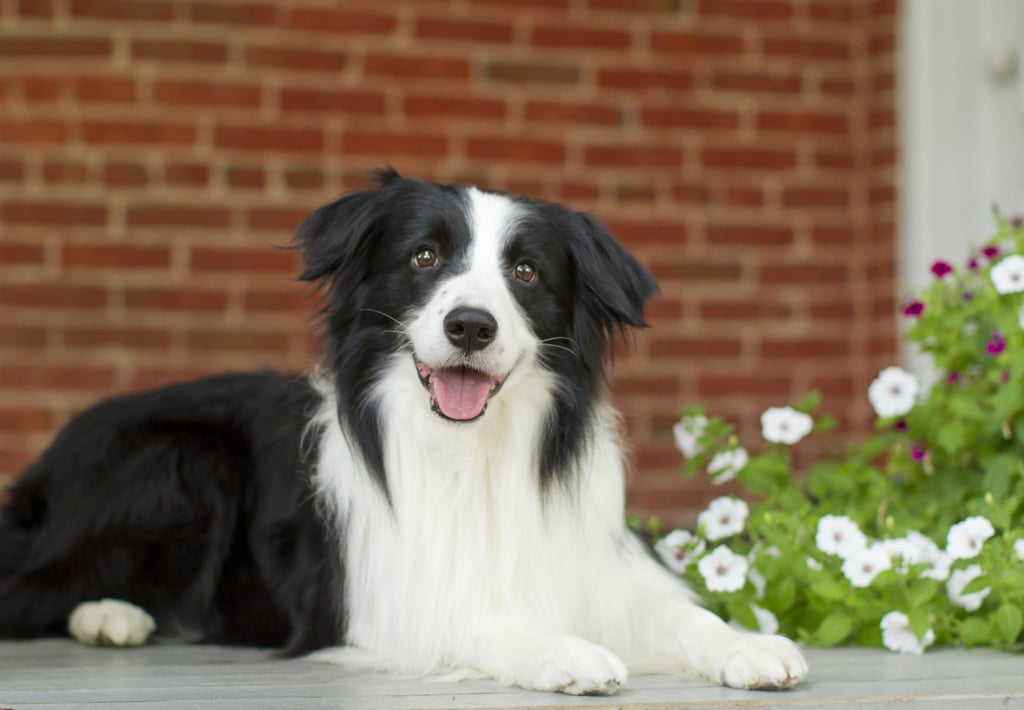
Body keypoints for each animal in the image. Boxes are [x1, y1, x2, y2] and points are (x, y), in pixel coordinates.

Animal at [0, 170, 806, 692]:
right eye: (424, 256)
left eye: (526, 272)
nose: (470, 325)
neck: (473, 451)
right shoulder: (385, 601)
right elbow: (472, 618)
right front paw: (562, 652)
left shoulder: (594, 563)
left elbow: (679, 613)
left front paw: (750, 645)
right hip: (179, 461)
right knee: (28, 588)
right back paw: (112, 615)